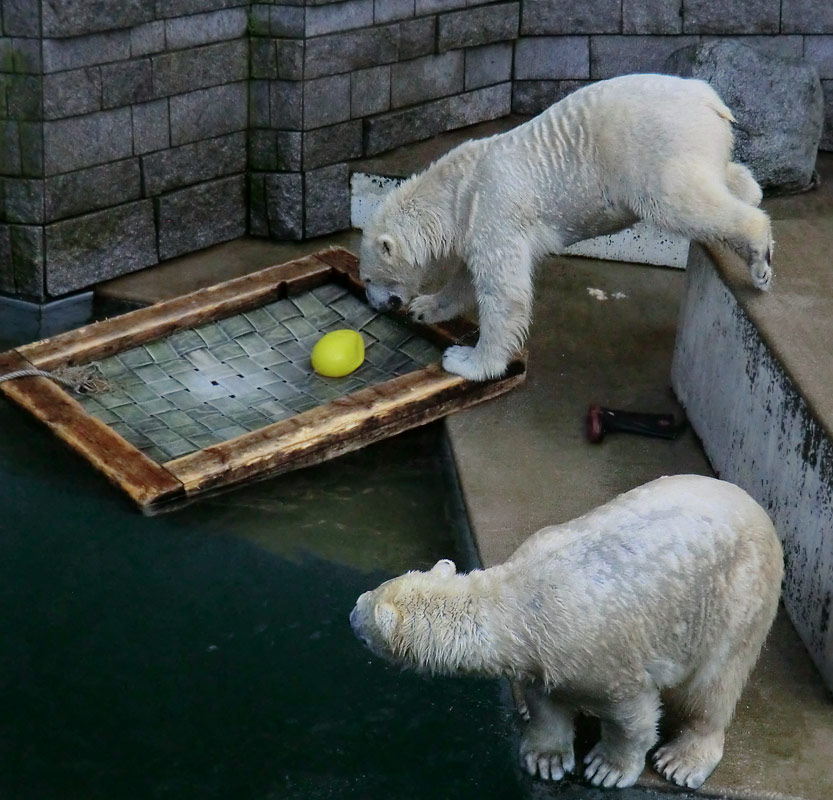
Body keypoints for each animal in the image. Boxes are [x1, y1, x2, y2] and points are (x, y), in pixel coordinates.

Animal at [348, 478, 784, 792]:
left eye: (368, 611)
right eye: (376, 589)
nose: (352, 610)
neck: (522, 601)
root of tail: (758, 510)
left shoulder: (606, 662)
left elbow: (635, 718)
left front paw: (608, 769)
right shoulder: (540, 656)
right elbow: (544, 702)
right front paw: (547, 758)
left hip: (739, 600)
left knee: (712, 687)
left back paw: (683, 760)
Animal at [360, 72, 772, 382]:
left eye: (367, 277)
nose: (374, 303)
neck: (457, 190)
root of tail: (709, 98)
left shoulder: (494, 210)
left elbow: (504, 294)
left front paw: (466, 361)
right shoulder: (475, 223)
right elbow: (466, 278)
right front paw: (426, 306)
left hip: (654, 146)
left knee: (677, 202)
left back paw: (760, 257)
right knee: (719, 177)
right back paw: (749, 192)